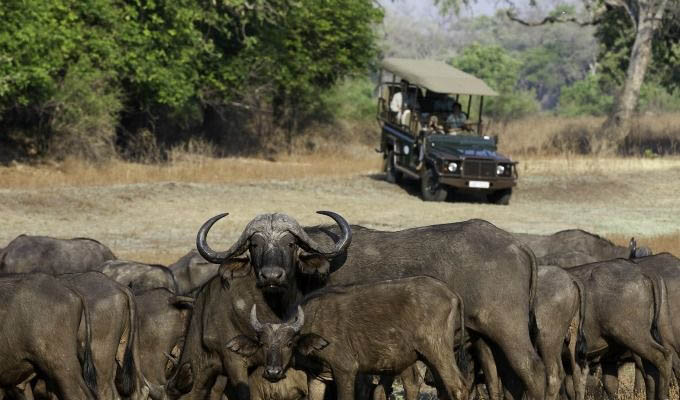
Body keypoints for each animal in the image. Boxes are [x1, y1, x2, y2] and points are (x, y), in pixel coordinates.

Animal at [227, 276, 468, 400]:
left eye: (289, 343)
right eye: (263, 344)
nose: (273, 372)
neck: (314, 322)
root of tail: (451, 293)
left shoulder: (346, 371)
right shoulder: (317, 377)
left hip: (438, 352)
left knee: (458, 388)